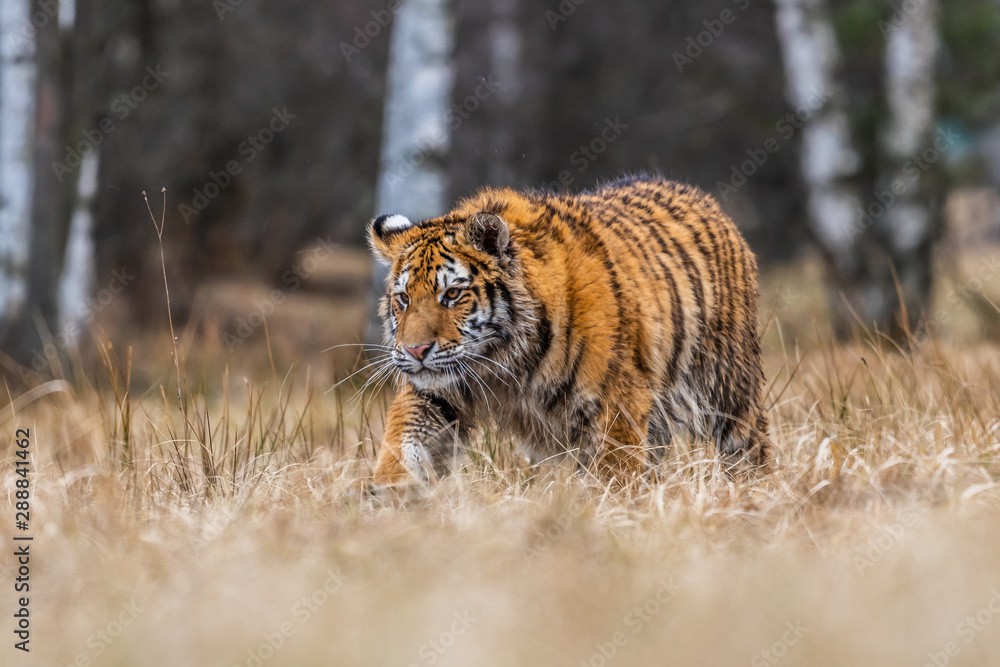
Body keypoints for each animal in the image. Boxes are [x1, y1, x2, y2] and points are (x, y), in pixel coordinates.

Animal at [367, 173, 769, 487]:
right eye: (404, 298)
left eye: (452, 294)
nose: (416, 351)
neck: (503, 361)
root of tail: (703, 199)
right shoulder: (438, 391)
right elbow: (404, 437)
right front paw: (392, 492)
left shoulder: (617, 403)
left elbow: (617, 473)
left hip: (730, 389)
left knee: (750, 449)